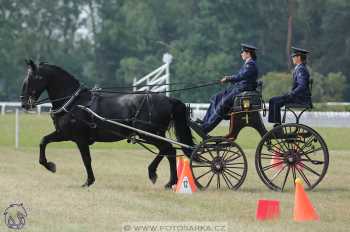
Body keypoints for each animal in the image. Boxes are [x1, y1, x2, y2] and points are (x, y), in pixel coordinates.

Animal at [20, 59, 196, 188]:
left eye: (32, 79)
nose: (23, 103)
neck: (74, 102)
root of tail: (168, 99)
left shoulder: (79, 139)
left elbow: (86, 159)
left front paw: (88, 181)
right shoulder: (64, 134)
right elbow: (43, 141)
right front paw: (49, 165)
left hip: (149, 134)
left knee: (168, 149)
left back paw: (156, 174)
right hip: (152, 134)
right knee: (169, 150)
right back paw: (169, 181)